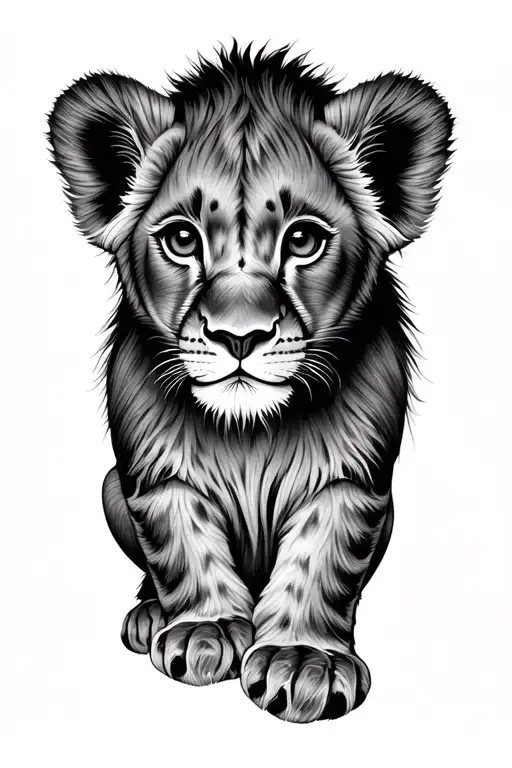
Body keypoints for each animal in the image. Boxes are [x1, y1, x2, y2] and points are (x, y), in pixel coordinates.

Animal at [48, 43, 453, 723]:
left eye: (304, 239)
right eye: (182, 238)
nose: (240, 337)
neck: (250, 434)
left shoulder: (353, 480)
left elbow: (323, 559)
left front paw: (305, 661)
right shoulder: (156, 475)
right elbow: (184, 546)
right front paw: (204, 631)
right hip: (110, 487)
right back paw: (149, 615)